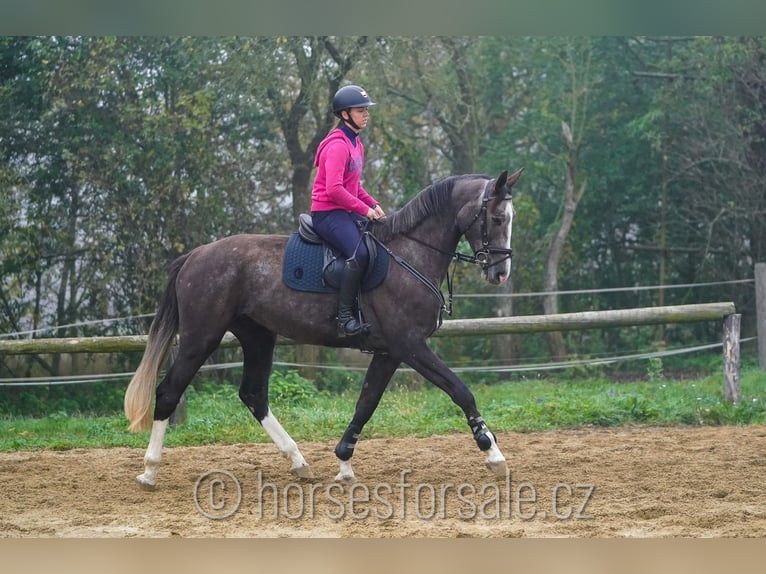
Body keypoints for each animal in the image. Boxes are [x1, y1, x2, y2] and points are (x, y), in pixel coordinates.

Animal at [123, 169, 524, 488]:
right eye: (496, 217)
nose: (501, 273)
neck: (410, 255)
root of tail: (196, 255)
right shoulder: (410, 345)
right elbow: (461, 391)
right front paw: (493, 453)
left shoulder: (389, 352)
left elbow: (366, 404)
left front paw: (344, 462)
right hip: (200, 336)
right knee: (168, 392)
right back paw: (149, 471)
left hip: (257, 336)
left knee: (254, 395)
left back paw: (298, 462)